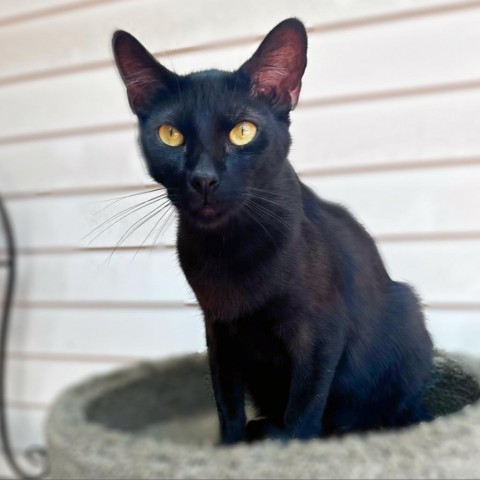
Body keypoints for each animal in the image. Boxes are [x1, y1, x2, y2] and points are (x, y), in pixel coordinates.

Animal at [113, 18, 436, 444]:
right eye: (170, 134)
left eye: (243, 132)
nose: (203, 178)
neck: (228, 248)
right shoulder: (219, 333)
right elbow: (227, 404)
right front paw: (230, 446)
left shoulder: (320, 333)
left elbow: (304, 408)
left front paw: (288, 447)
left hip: (406, 316)